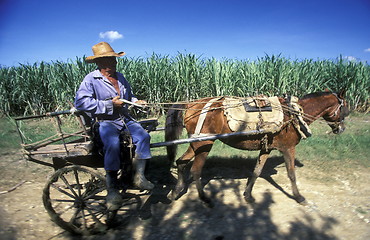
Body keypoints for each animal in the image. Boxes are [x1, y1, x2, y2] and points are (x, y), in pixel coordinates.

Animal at [165, 89, 350, 206]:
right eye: (346, 107)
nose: (341, 129)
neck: (293, 113)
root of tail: (190, 104)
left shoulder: (266, 148)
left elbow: (256, 171)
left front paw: (248, 195)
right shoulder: (288, 148)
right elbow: (291, 174)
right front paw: (299, 197)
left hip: (197, 143)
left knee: (181, 162)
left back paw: (175, 191)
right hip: (204, 144)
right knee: (196, 170)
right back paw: (204, 198)